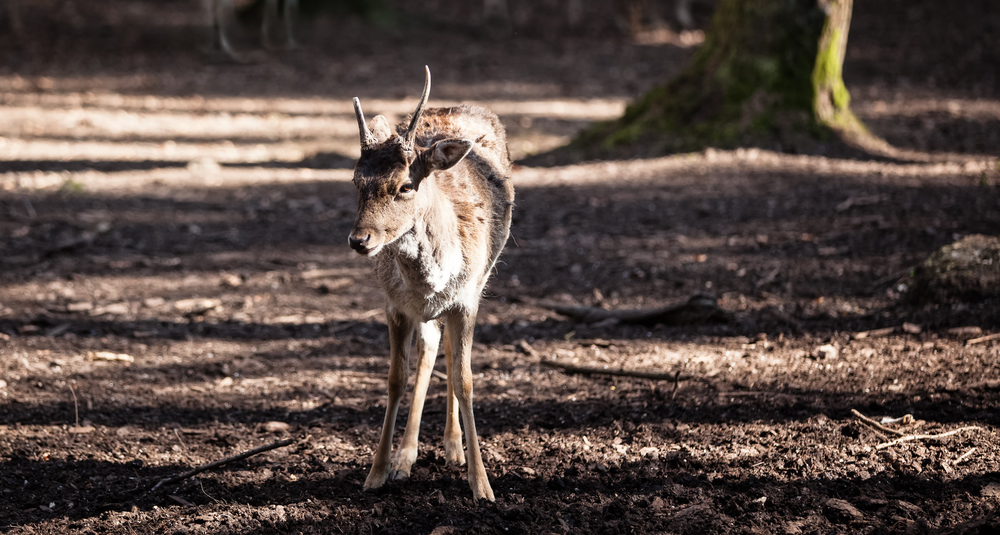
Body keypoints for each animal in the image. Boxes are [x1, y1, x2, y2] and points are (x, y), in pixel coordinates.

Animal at [346, 67, 516, 502]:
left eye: (405, 185)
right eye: (355, 182)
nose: (359, 240)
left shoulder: (467, 299)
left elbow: (466, 378)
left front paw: (482, 485)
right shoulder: (394, 305)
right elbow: (395, 378)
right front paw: (376, 473)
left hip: (480, 281)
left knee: (452, 355)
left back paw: (454, 447)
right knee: (431, 349)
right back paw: (406, 457)